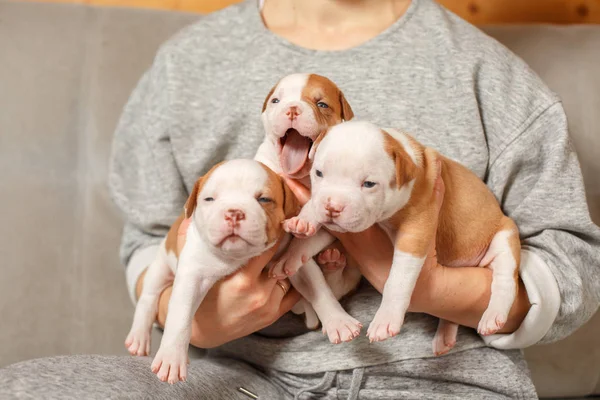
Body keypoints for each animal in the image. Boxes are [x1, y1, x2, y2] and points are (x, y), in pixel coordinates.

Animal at [284, 120, 524, 354]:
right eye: (318, 173)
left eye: (368, 184)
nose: (333, 206)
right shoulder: (344, 228)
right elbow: (317, 236)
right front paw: (298, 240)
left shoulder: (415, 230)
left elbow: (397, 280)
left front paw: (385, 319)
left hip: (504, 237)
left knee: (505, 280)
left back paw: (493, 316)